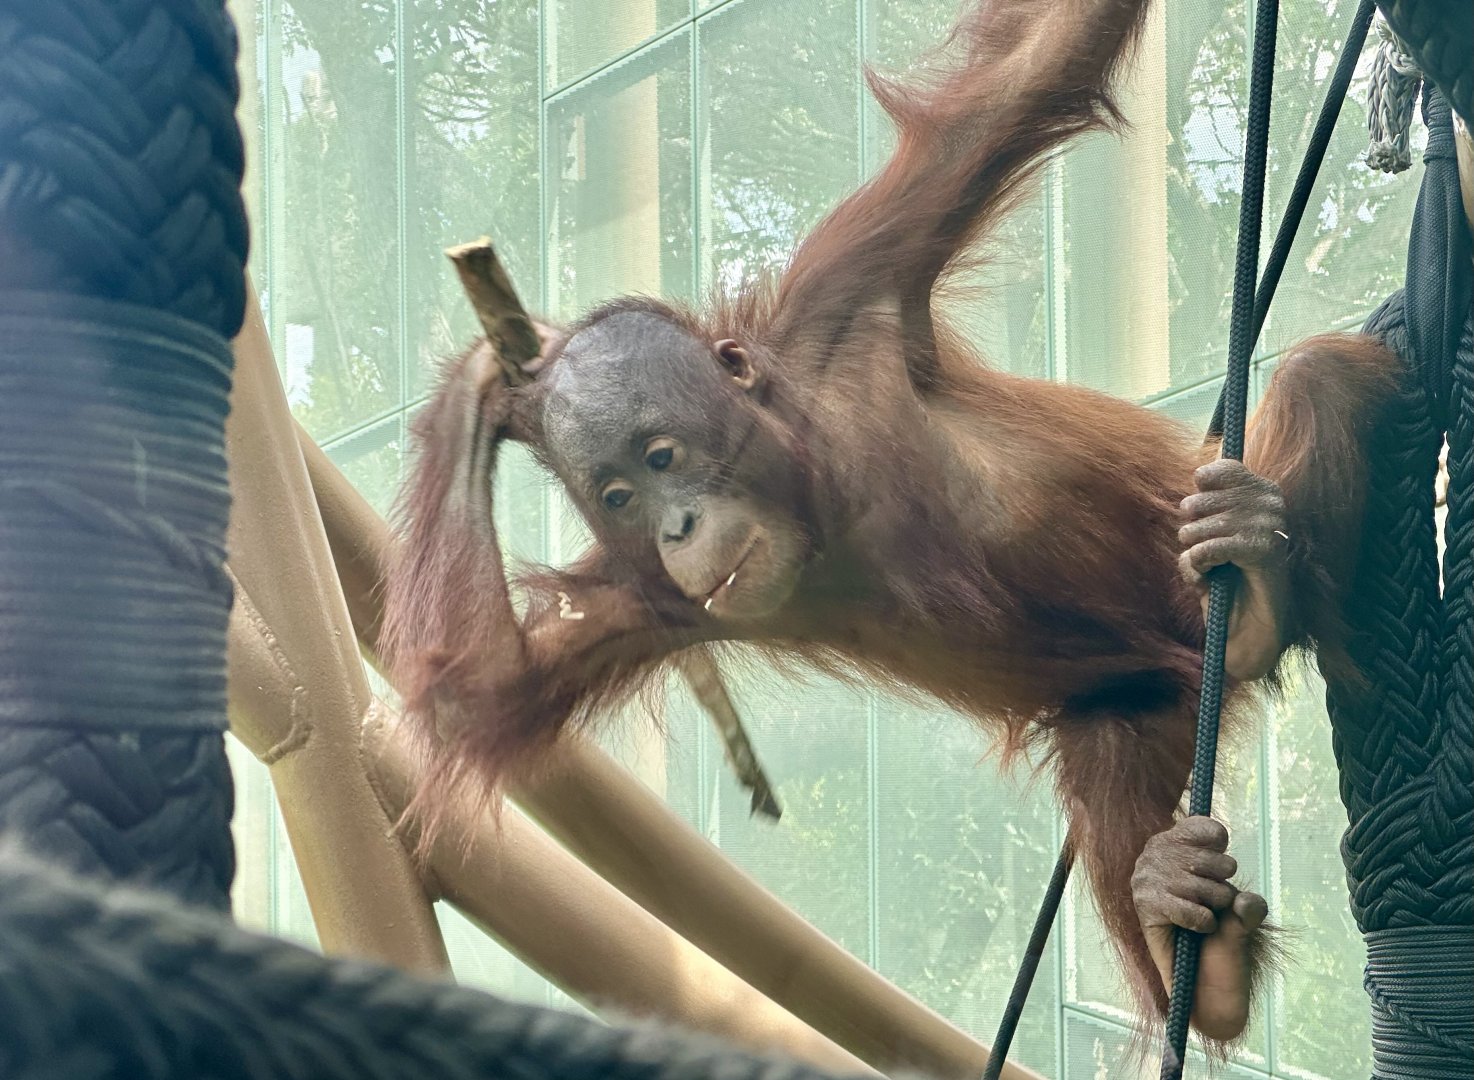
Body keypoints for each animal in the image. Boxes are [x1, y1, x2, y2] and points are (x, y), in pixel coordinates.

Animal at [383, 0, 1403, 1043]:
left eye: (661, 457)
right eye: (619, 495)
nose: (676, 530)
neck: (821, 486)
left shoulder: (852, 286)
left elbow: (1036, 73)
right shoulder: (648, 597)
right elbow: (481, 688)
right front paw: (483, 386)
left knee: (1319, 373)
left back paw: (1257, 582)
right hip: (1144, 694)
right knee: (1113, 753)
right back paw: (1191, 935)